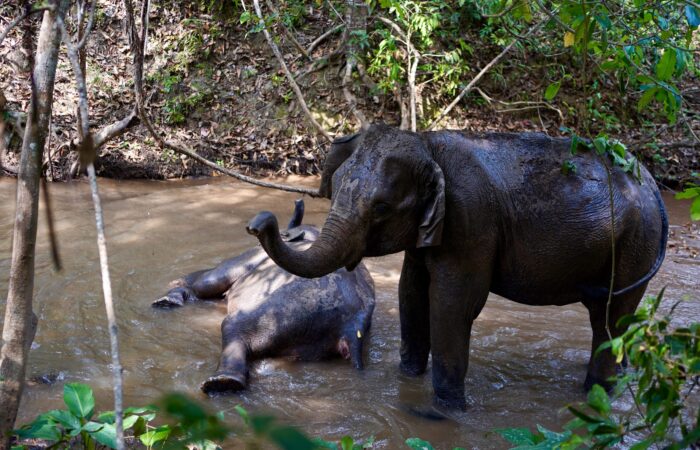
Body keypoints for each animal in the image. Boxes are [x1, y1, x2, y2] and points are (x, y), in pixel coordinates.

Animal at [154, 199, 376, 394]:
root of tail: (352, 325)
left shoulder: (248, 260)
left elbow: (205, 282)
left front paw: (171, 293)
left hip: (274, 313)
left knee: (232, 327)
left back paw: (221, 382)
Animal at [246, 124, 668, 409]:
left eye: (381, 207)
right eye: (335, 188)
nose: (258, 223)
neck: (427, 144)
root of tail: (651, 183)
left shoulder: (471, 221)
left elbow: (453, 304)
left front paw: (445, 413)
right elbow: (411, 293)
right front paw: (407, 380)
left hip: (636, 243)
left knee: (611, 317)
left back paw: (598, 393)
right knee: (611, 319)